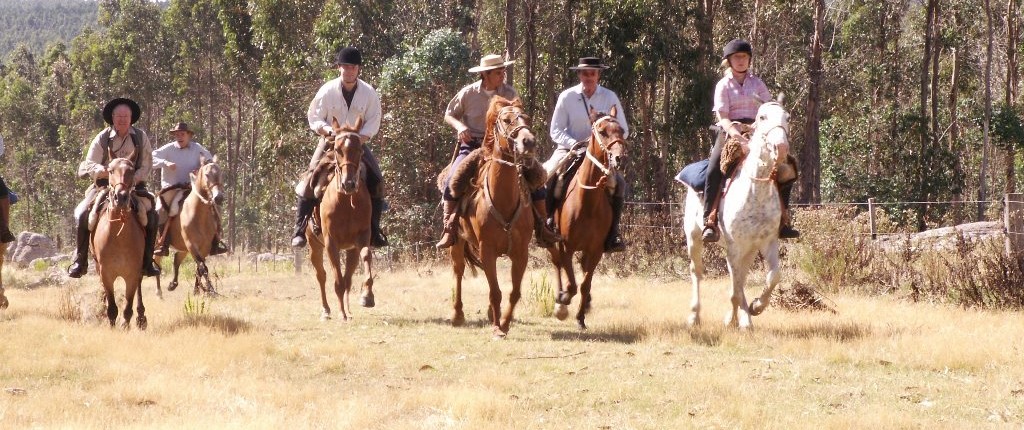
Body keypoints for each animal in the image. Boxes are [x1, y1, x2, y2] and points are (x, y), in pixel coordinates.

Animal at [93, 151, 148, 329]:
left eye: (132, 171)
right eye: (110, 170)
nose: (121, 197)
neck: (119, 238)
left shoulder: (132, 273)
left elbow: (127, 308)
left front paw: (126, 325)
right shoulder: (106, 273)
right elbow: (112, 308)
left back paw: (141, 317)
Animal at [155, 158, 224, 298]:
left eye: (220, 173)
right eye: (207, 174)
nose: (218, 197)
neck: (198, 215)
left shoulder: (203, 248)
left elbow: (199, 268)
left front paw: (197, 290)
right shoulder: (192, 245)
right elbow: (203, 268)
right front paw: (210, 290)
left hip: (183, 248)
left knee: (176, 260)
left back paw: (173, 284)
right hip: (157, 246)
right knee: (157, 264)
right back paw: (159, 292)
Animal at [307, 116, 380, 319]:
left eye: (360, 150)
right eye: (338, 150)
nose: (349, 184)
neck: (346, 203)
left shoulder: (361, 238)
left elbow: (365, 256)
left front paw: (367, 296)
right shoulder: (330, 242)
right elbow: (337, 280)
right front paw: (341, 314)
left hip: (350, 249)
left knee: (348, 277)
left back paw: (347, 308)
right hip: (314, 245)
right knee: (321, 276)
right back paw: (326, 310)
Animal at [452, 95, 540, 337]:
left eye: (526, 117)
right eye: (507, 120)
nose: (528, 141)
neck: (504, 200)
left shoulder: (520, 252)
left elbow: (513, 292)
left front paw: (505, 322)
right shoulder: (487, 250)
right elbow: (495, 291)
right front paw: (497, 328)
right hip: (456, 242)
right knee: (458, 272)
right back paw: (457, 315)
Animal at [684, 101, 786, 329]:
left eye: (787, 117)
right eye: (763, 117)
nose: (781, 147)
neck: (756, 191)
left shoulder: (767, 242)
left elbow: (773, 276)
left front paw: (756, 307)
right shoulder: (734, 246)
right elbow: (735, 288)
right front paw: (735, 319)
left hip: (747, 249)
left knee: (739, 276)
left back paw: (743, 317)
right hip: (694, 238)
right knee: (697, 273)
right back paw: (694, 316)